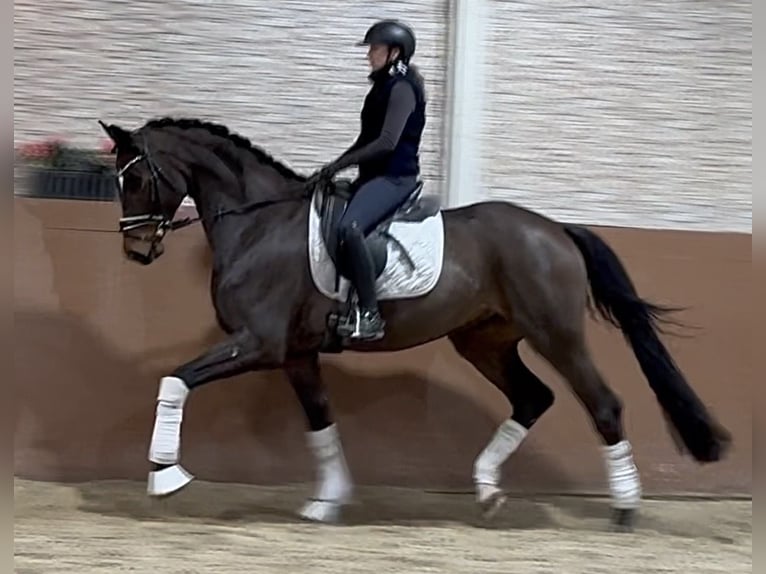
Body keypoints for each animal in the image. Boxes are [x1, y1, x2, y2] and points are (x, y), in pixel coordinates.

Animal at [98, 116, 731, 531]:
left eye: (136, 179)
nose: (135, 250)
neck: (259, 225)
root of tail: (555, 229)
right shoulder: (296, 354)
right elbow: (321, 421)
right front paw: (327, 501)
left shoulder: (259, 344)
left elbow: (175, 380)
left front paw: (165, 476)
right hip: (484, 340)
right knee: (533, 398)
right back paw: (487, 492)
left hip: (556, 334)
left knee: (602, 404)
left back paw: (624, 508)